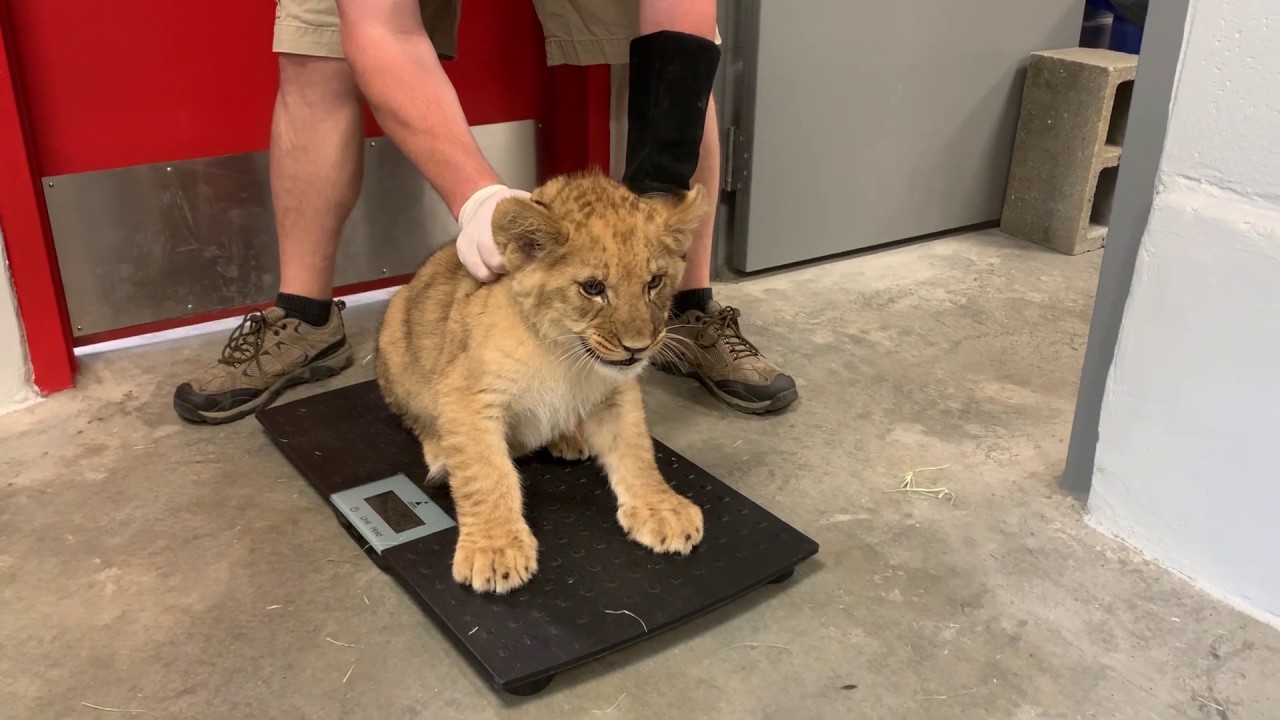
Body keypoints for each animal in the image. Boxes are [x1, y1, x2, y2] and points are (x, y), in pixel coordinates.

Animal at [375, 171, 708, 595]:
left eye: (654, 282)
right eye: (593, 288)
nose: (638, 348)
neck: (563, 355)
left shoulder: (616, 393)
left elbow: (636, 449)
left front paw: (661, 508)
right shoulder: (468, 396)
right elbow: (486, 473)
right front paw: (494, 549)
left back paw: (568, 436)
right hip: (398, 340)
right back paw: (442, 458)